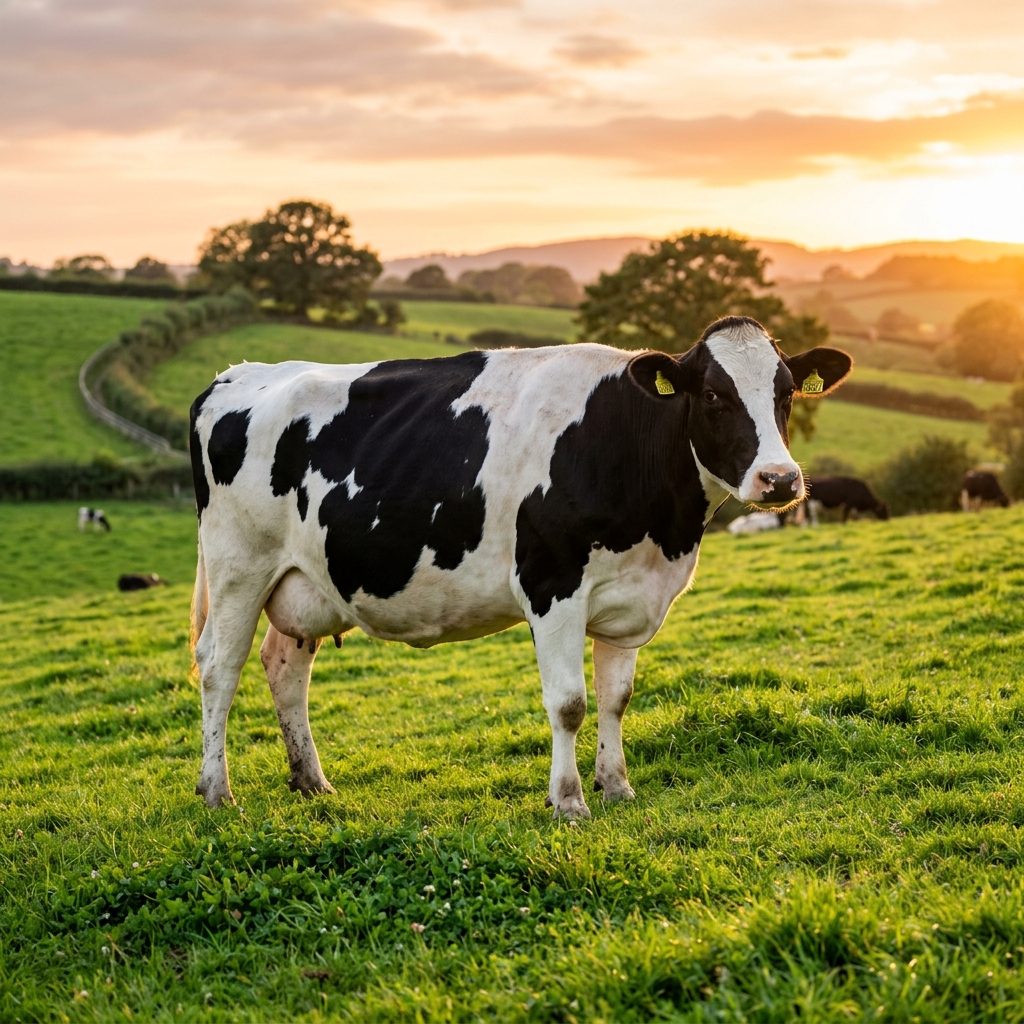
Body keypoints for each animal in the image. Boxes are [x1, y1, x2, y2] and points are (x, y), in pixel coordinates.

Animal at [188, 315, 851, 817]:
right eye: (713, 395)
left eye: (787, 392)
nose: (779, 479)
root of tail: (237, 374)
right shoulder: (552, 586)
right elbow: (570, 702)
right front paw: (569, 802)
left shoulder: (629, 595)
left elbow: (616, 698)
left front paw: (618, 787)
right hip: (237, 565)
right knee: (219, 668)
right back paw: (217, 792)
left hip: (305, 580)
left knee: (284, 668)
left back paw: (312, 781)